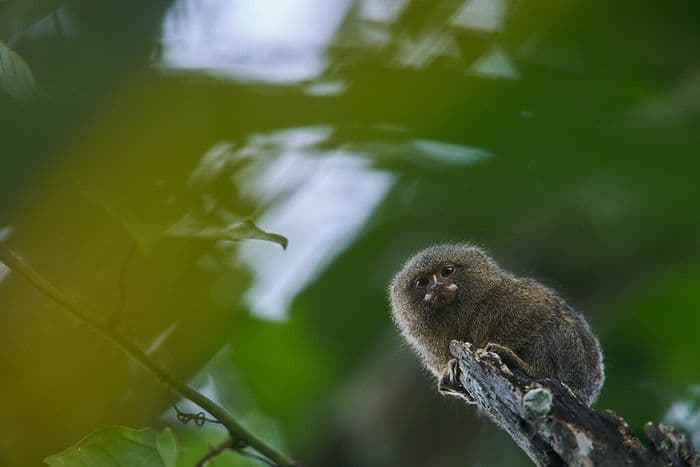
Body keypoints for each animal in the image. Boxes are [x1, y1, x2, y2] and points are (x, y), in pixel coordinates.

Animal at [389, 243, 604, 406]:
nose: (436, 287)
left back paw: (530, 368)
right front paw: (451, 366)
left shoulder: (508, 298)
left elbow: (537, 312)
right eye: (422, 282)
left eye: (447, 272)